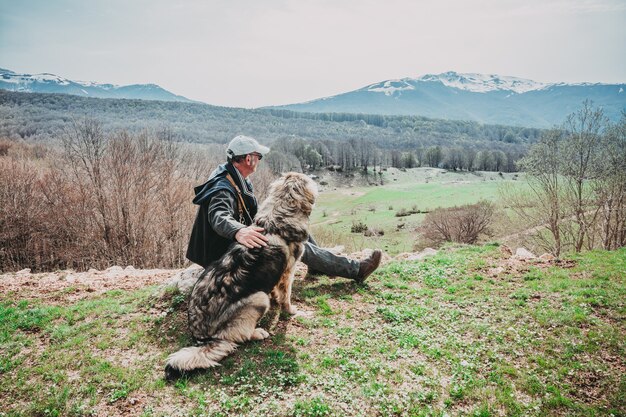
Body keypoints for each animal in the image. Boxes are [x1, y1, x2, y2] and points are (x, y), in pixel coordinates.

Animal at [165, 171, 316, 378]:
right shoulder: (288, 271)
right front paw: (290, 310)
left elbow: (276, 290)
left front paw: (278, 301)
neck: (279, 216)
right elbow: (287, 295)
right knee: (239, 336)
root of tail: (203, 336)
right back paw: (258, 332)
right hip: (258, 299)